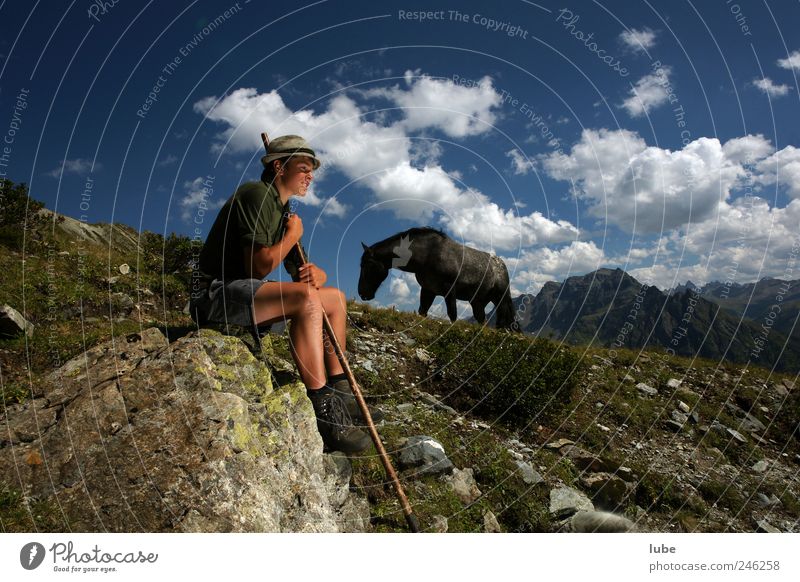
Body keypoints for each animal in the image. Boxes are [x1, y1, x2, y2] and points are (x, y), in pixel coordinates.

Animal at [358, 228, 520, 330]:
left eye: (367, 265)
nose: (362, 293)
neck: (429, 254)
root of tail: (502, 265)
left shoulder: (449, 289)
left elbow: (452, 314)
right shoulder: (428, 290)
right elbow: (422, 311)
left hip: (500, 298)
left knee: (501, 320)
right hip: (478, 301)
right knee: (482, 319)